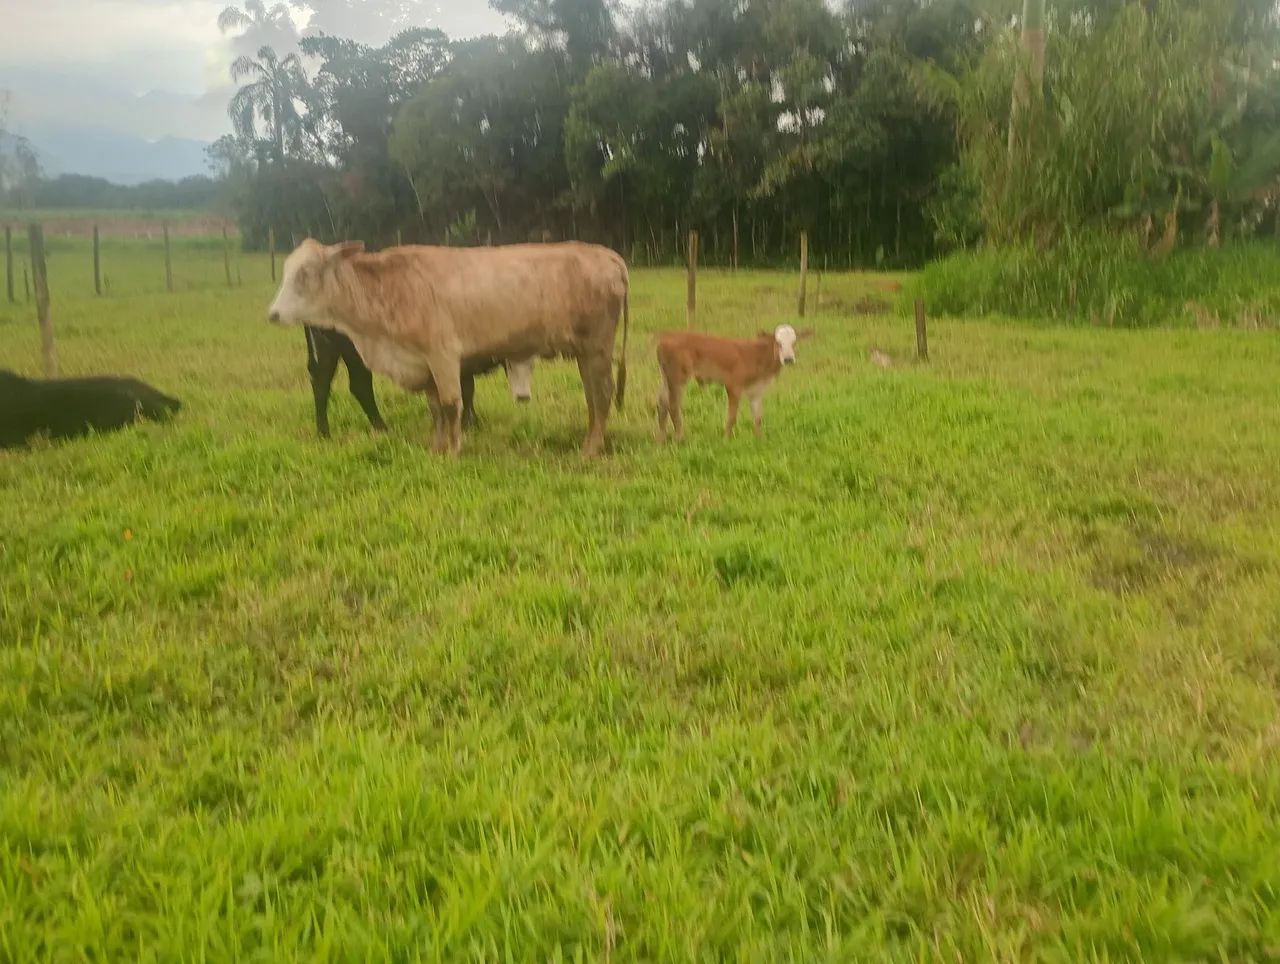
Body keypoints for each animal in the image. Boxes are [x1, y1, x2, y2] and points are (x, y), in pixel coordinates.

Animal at [303, 325, 536, 438]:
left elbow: (467, 389)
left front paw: (470, 422)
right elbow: (464, 389)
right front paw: (468, 423)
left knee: (343, 383)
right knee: (339, 382)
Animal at [654, 325, 813, 442]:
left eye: (794, 342)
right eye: (778, 343)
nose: (788, 359)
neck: (757, 356)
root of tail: (666, 336)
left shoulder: (756, 391)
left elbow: (758, 418)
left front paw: (759, 439)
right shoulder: (733, 386)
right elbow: (731, 417)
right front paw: (726, 439)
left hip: (666, 378)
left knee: (662, 404)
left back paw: (661, 439)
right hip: (678, 378)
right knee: (673, 406)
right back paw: (680, 438)